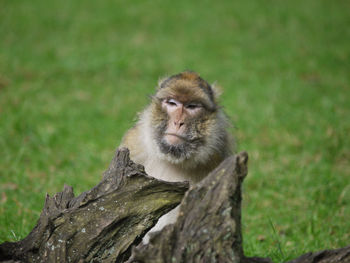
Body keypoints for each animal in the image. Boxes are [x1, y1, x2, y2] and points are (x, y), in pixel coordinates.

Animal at [119, 71, 232, 241]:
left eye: (192, 106)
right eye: (172, 103)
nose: (178, 122)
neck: (173, 158)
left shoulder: (217, 160)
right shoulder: (133, 145)